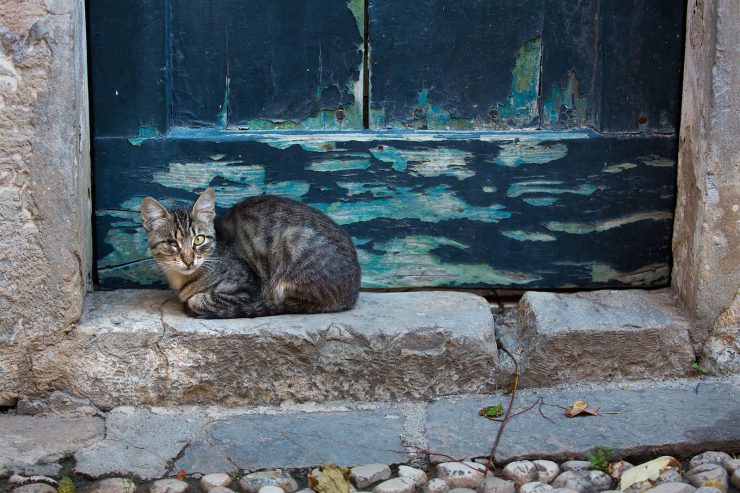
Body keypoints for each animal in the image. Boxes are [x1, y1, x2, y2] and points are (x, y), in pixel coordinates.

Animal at [140, 186, 360, 318]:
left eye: (198, 239)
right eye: (172, 242)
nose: (188, 260)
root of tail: (352, 293)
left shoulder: (246, 285)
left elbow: (198, 300)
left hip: (294, 242)